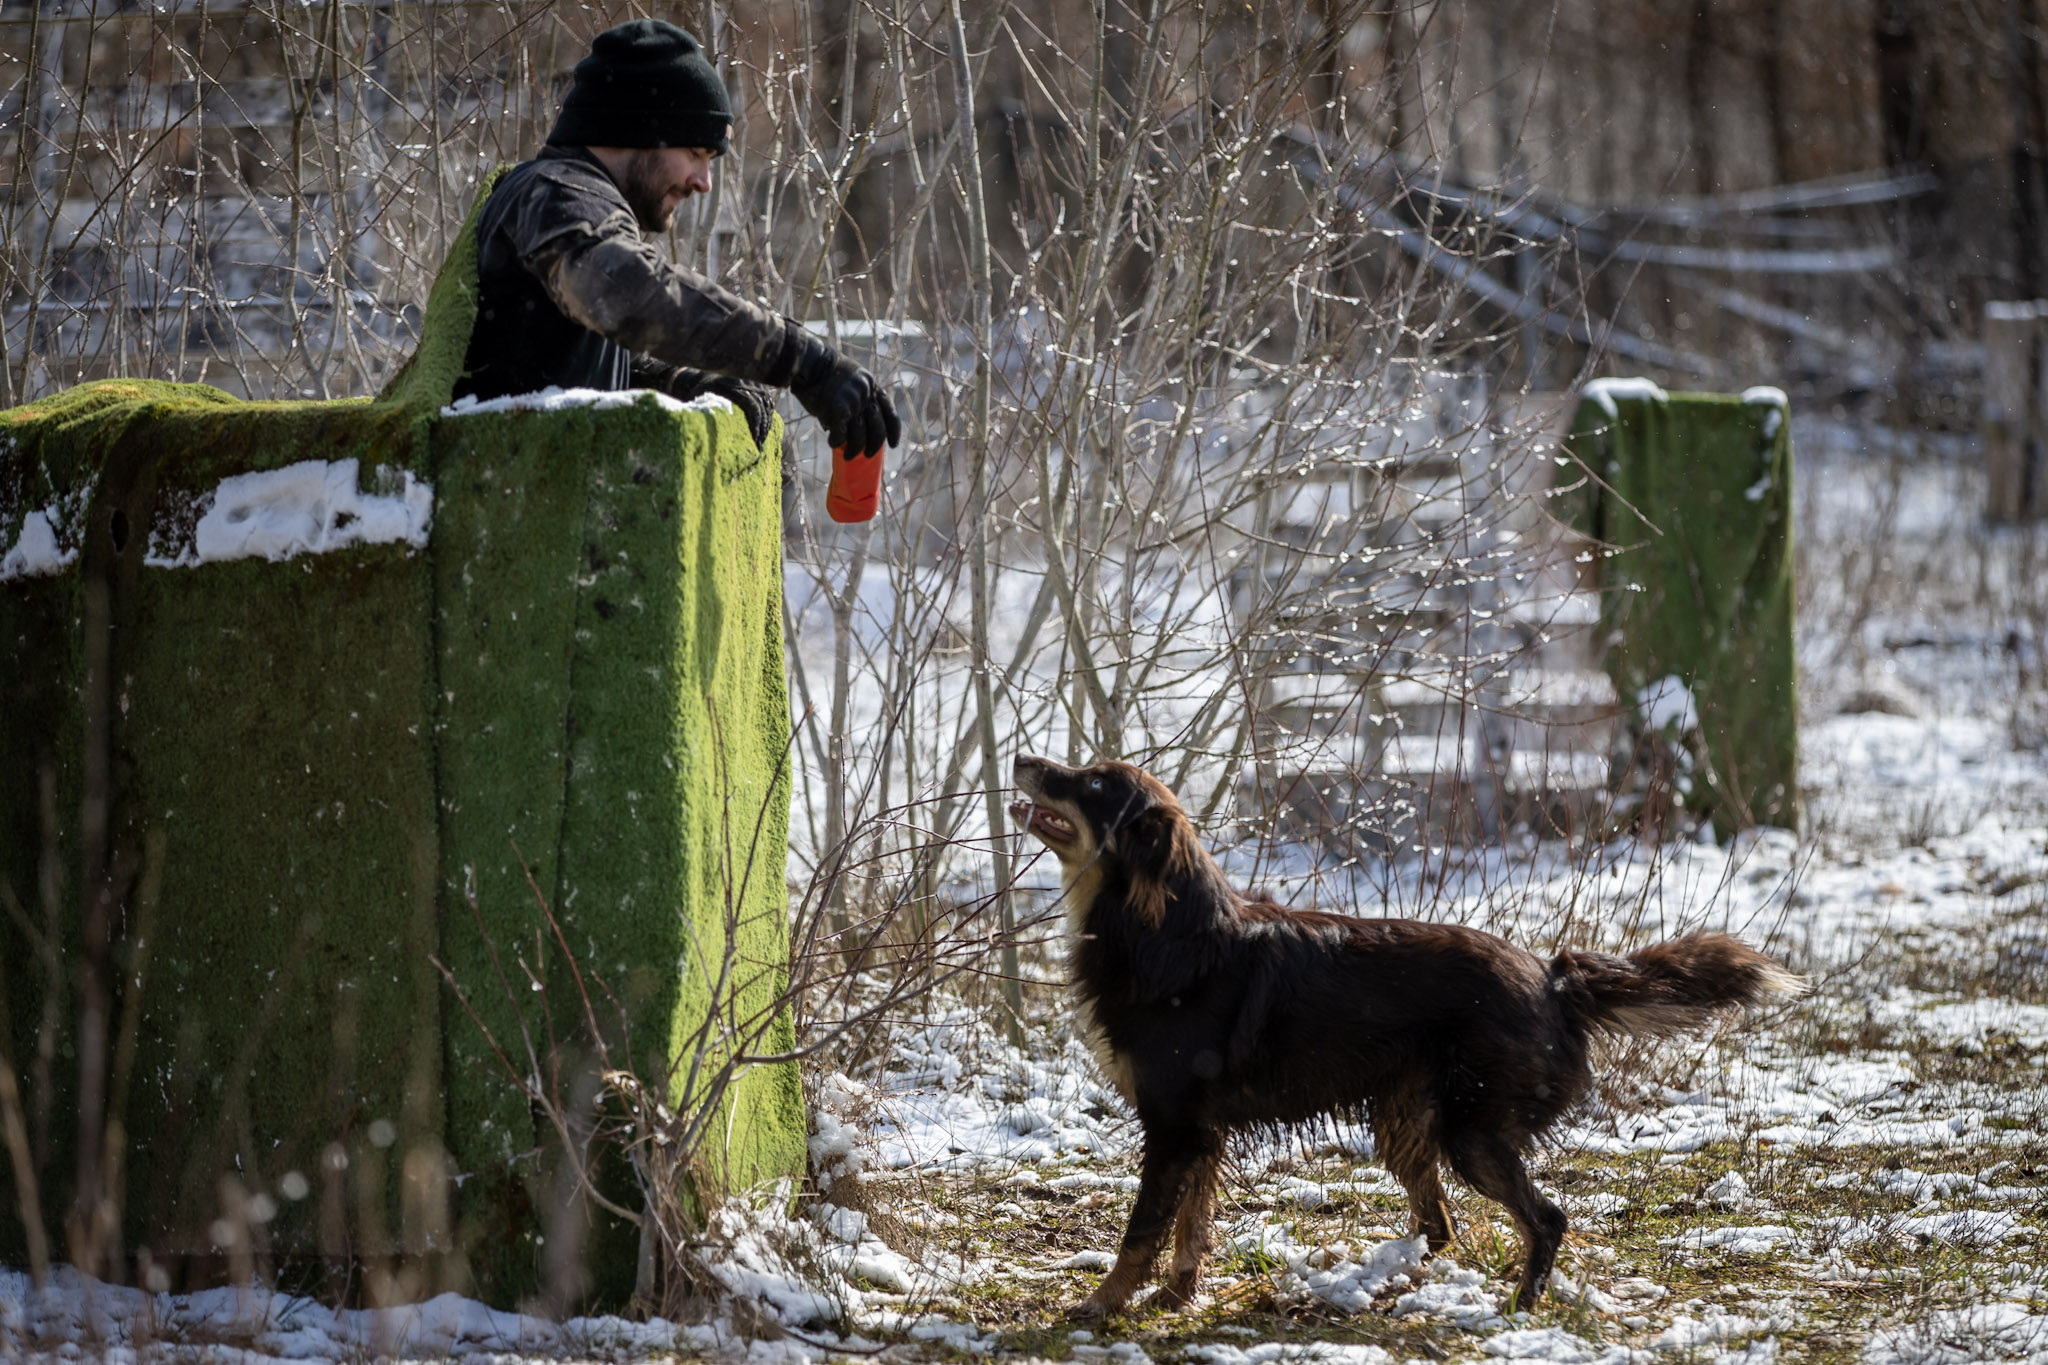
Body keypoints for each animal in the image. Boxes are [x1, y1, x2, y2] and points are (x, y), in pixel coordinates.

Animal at [1015, 753, 1802, 1317]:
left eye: (1091, 781)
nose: (1024, 758)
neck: (1165, 930)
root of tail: (1551, 977)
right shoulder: (1200, 1133)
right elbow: (1190, 1228)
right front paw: (1175, 1298)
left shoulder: (1174, 1127)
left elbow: (1142, 1231)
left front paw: (1101, 1305)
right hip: (1408, 1123)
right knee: (1441, 1225)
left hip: (1472, 1133)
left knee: (1546, 1218)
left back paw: (1518, 1306)